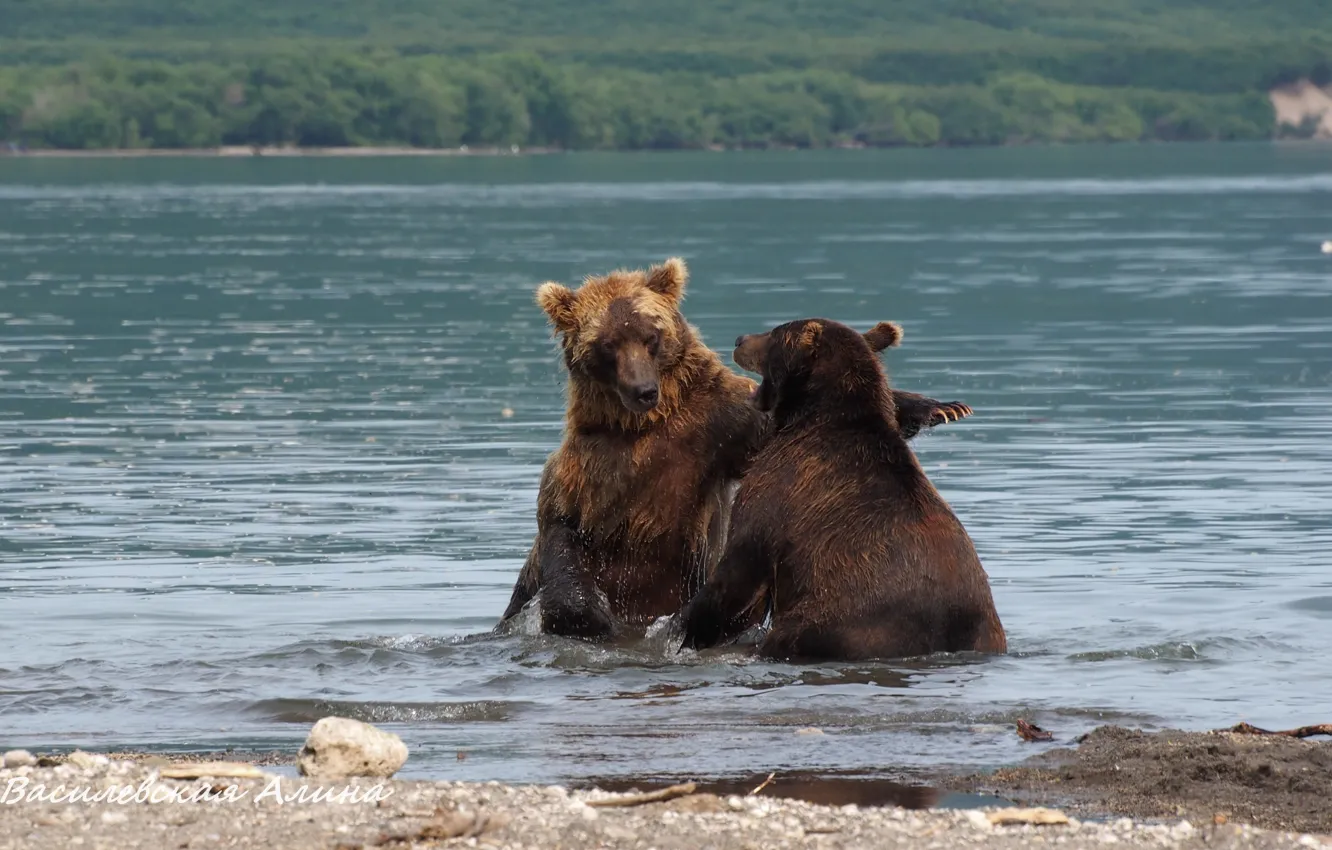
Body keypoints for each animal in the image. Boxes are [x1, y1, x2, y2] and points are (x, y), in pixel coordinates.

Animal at [500, 263, 980, 642]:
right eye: (607, 345)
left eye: (650, 336)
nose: (643, 390)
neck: (644, 426)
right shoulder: (590, 468)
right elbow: (562, 527)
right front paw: (586, 616)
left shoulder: (713, 429)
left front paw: (938, 407)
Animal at [681, 317, 1001, 663]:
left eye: (775, 334)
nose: (740, 339)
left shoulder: (779, 489)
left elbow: (741, 563)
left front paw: (684, 627)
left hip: (842, 620)